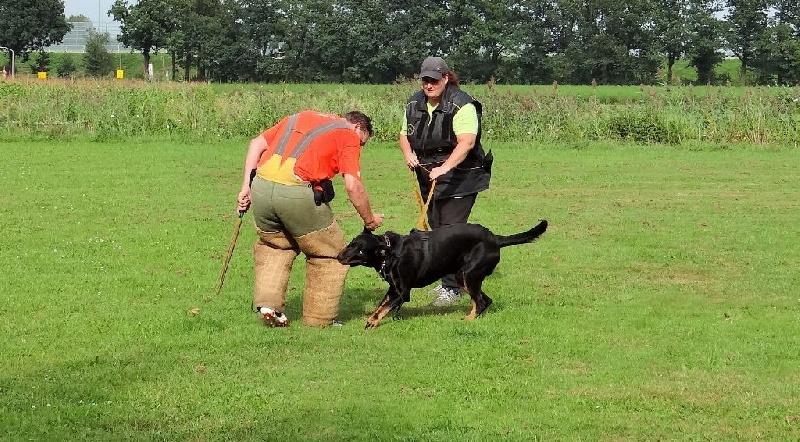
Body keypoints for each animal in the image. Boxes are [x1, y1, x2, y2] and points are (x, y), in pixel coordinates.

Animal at [334, 221, 548, 328]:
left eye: (360, 250)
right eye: (352, 243)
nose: (338, 256)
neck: (390, 253)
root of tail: (496, 239)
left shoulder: (402, 293)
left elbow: (384, 308)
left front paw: (372, 322)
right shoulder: (393, 289)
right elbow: (380, 305)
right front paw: (372, 317)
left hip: (468, 275)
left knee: (480, 301)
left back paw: (468, 320)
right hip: (464, 277)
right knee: (485, 300)